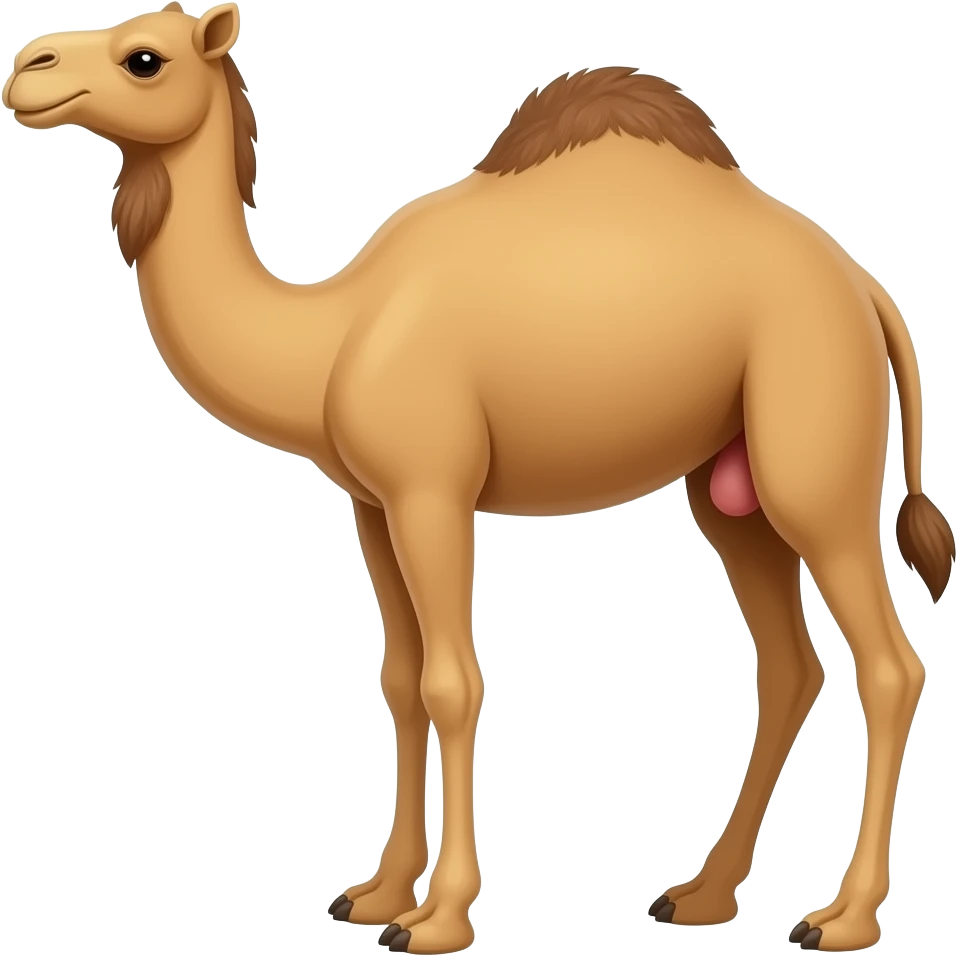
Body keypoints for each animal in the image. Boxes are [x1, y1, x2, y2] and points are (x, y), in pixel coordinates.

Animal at [4, 4, 953, 953]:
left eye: (144, 58)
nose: (27, 68)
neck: (330, 337)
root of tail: (865, 290)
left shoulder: (433, 489)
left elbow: (453, 682)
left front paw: (437, 917)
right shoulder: (372, 504)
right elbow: (398, 679)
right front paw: (376, 894)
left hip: (812, 461)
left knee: (888, 663)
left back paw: (841, 916)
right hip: (730, 489)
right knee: (788, 665)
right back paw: (700, 894)